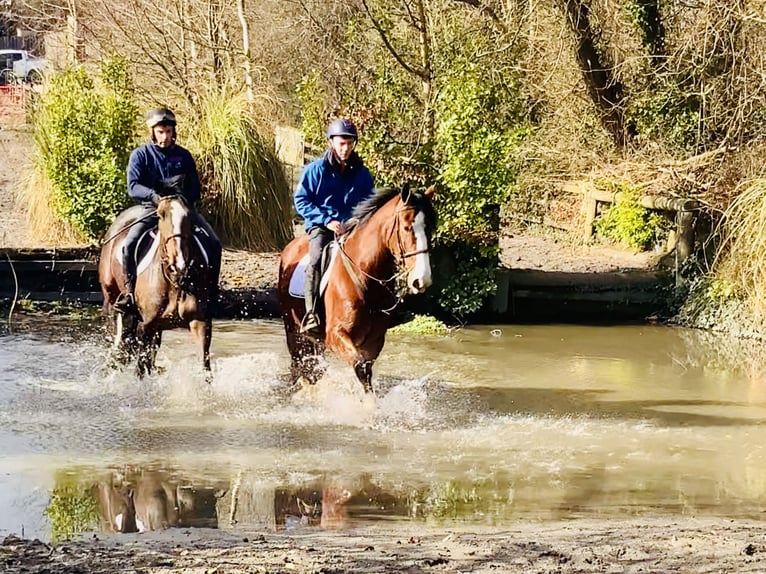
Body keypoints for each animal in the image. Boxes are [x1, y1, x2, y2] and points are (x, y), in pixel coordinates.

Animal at [99, 196, 218, 380]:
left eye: (188, 216)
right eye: (161, 216)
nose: (179, 263)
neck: (175, 281)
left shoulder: (200, 322)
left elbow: (205, 368)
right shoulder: (147, 325)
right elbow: (140, 369)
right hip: (111, 300)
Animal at [278, 187, 438, 394]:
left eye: (430, 229)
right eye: (406, 227)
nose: (422, 280)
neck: (365, 275)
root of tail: (290, 247)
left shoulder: (374, 341)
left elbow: (365, 371)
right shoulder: (336, 335)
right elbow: (360, 368)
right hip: (294, 331)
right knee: (299, 367)